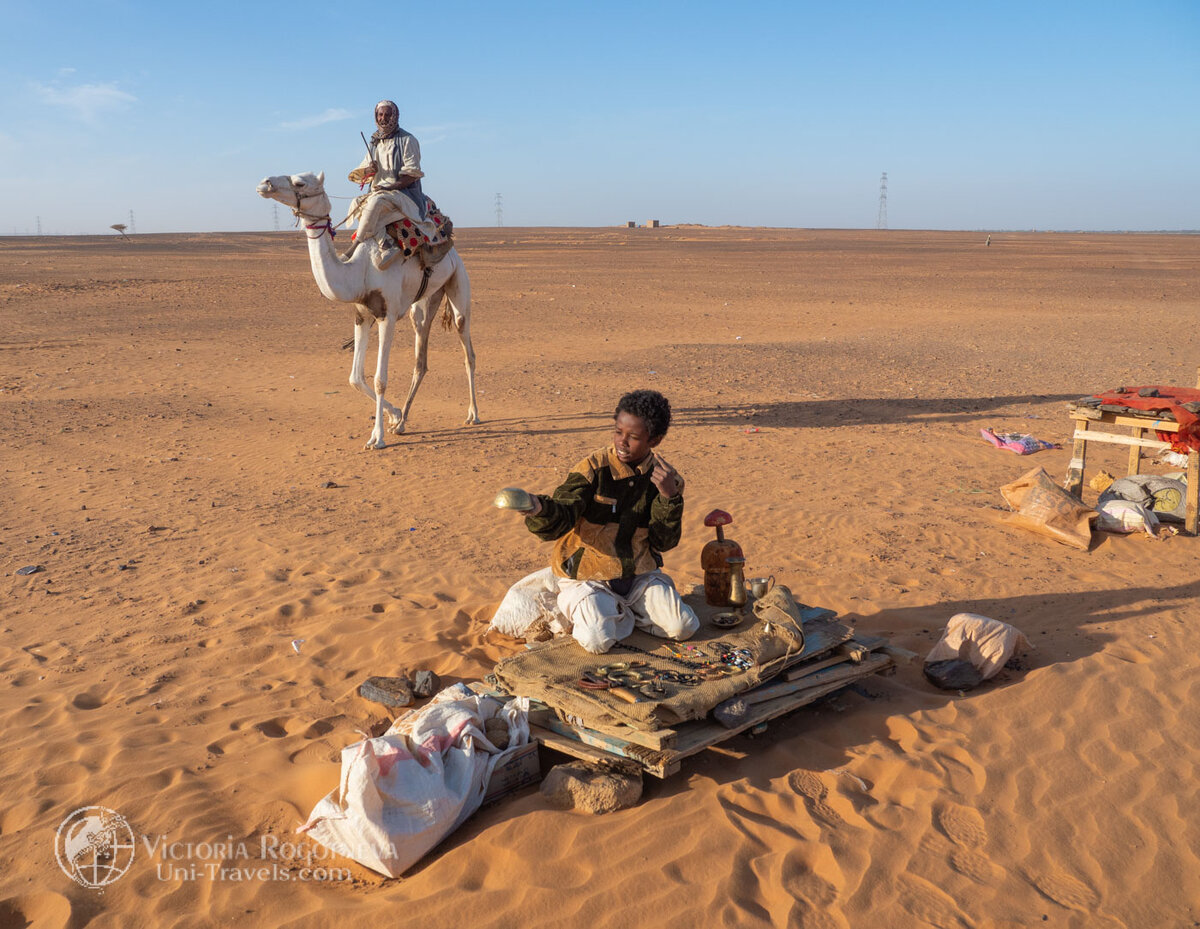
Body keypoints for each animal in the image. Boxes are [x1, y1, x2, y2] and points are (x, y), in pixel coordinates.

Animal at [256, 175, 477, 453]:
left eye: (300, 183)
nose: (265, 183)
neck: (360, 271)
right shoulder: (362, 316)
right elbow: (355, 378)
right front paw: (393, 415)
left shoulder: (387, 315)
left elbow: (380, 379)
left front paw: (377, 438)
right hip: (425, 301)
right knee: (421, 358)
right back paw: (402, 422)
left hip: (459, 280)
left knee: (466, 347)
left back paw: (473, 415)